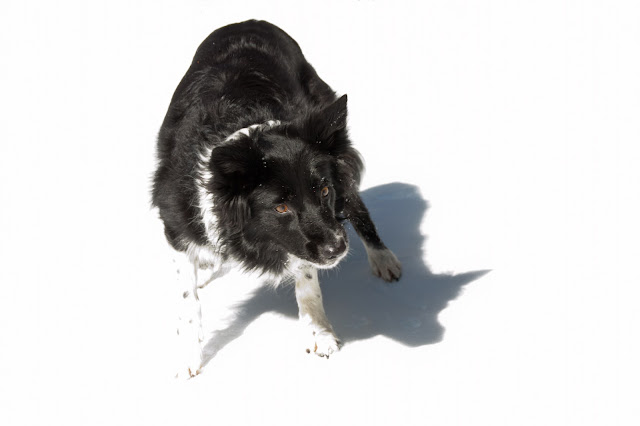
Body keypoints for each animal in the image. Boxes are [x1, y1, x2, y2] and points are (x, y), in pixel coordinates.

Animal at [152, 20, 402, 378]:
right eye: (280, 207)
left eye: (324, 190)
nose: (337, 249)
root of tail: (248, 21)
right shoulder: (174, 223)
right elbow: (188, 301)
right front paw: (188, 356)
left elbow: (308, 282)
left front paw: (319, 332)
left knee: (357, 206)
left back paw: (383, 258)